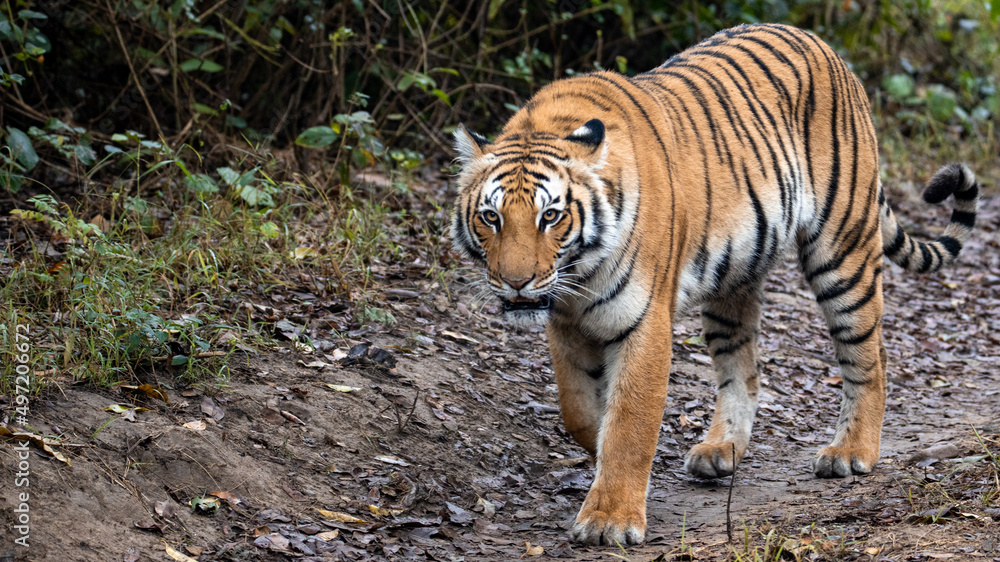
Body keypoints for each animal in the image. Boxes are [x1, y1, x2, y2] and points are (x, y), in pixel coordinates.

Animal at [450, 23, 978, 545]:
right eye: (491, 217)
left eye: (551, 216)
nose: (517, 283)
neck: (579, 273)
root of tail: (824, 45)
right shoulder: (565, 323)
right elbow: (579, 410)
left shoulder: (644, 321)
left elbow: (629, 422)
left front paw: (610, 519)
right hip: (734, 276)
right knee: (742, 368)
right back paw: (722, 449)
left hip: (842, 251)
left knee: (870, 355)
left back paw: (851, 452)